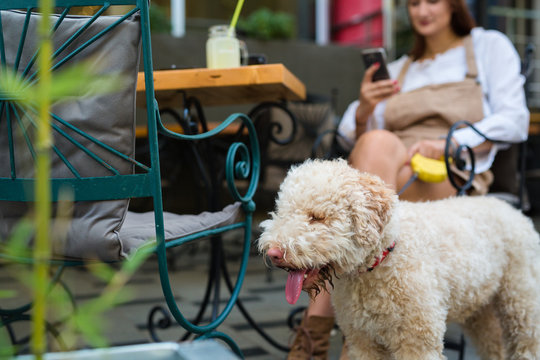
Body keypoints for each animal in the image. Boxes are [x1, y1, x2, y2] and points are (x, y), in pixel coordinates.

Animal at [258, 159, 540, 360]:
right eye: (282, 212)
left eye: (317, 217)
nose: (274, 253)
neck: (383, 260)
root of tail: (514, 211)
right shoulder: (363, 341)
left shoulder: (418, 343)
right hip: (481, 310)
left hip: (522, 302)